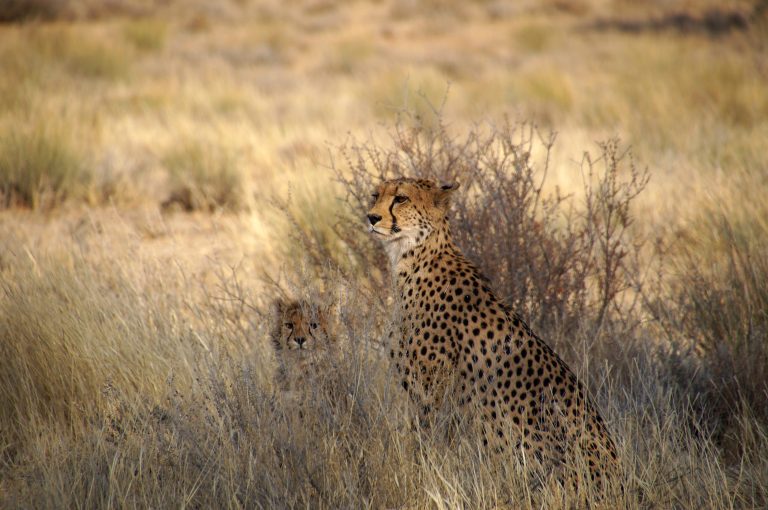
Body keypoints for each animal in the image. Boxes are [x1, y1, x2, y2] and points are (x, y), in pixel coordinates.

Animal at [364, 177, 616, 488]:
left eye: (401, 198)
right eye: (375, 195)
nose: (371, 217)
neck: (414, 257)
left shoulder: (432, 392)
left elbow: (425, 444)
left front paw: (420, 475)